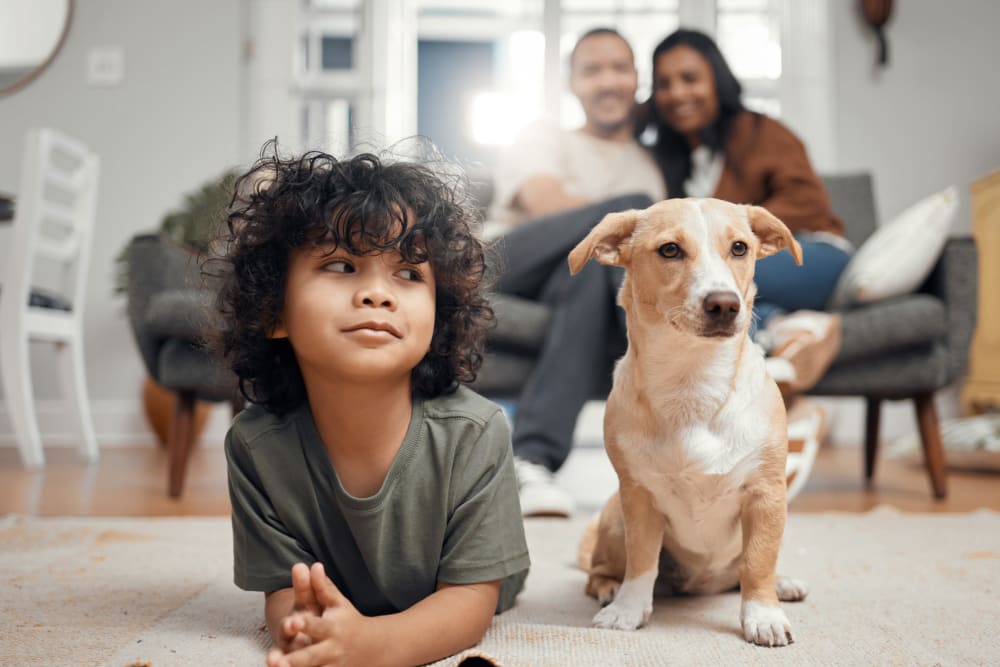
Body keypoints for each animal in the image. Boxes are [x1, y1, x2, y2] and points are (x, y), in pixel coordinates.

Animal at [572, 197, 812, 648]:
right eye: (670, 250)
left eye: (739, 248)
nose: (724, 304)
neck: (693, 382)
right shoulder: (638, 497)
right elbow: (642, 561)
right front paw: (629, 610)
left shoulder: (767, 495)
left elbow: (758, 561)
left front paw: (763, 614)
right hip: (613, 517)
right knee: (598, 572)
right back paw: (610, 588)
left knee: (750, 568)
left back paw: (783, 583)